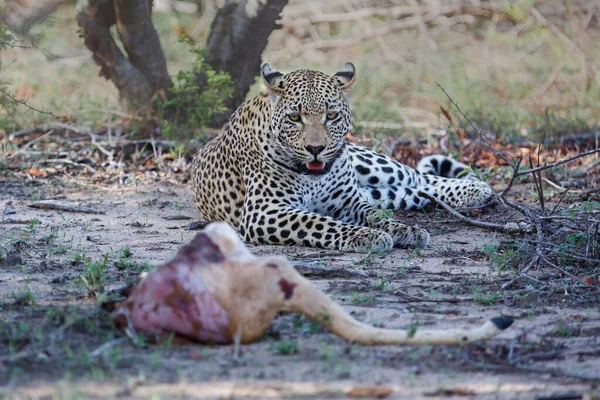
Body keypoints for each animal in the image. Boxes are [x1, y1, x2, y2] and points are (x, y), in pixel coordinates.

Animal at [192, 63, 492, 253]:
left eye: (332, 115)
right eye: (294, 117)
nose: (316, 148)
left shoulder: (349, 201)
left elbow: (375, 215)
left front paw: (403, 230)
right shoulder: (264, 211)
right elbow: (319, 222)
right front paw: (369, 236)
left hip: (370, 164)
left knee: (417, 176)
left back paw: (474, 190)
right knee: (409, 190)